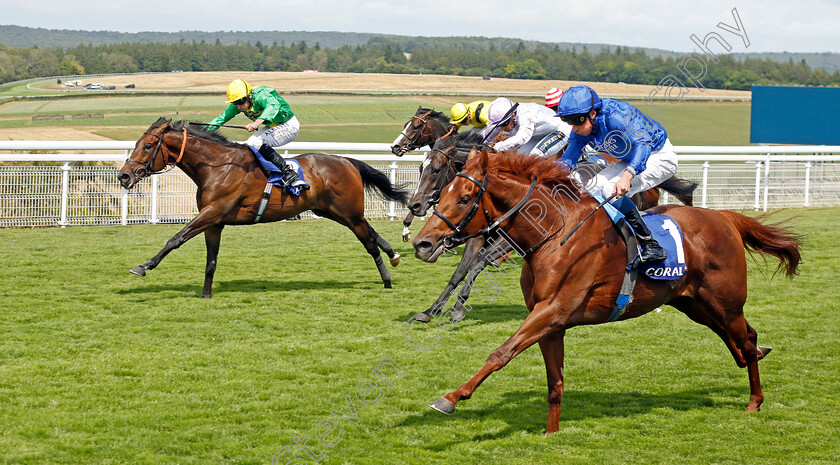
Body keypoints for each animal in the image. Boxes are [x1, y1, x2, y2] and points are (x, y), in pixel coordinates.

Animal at [117, 118, 406, 296]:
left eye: (148, 145)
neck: (217, 166)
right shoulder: (215, 222)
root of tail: (347, 161)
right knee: (371, 233)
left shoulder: (212, 212)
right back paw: (393, 254)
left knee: (368, 242)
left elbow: (175, 238)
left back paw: (387, 280)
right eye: (137, 144)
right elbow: (211, 261)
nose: (123, 176)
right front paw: (206, 295)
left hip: (348, 212)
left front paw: (144, 266)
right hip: (333, 212)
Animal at [412, 147, 800, 434]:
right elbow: (554, 381)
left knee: (744, 340)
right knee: (743, 338)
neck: (552, 233)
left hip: (725, 303)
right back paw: (757, 357)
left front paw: (450, 397)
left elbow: (501, 353)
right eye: (442, 194)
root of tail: (726, 218)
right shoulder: (551, 322)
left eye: (464, 199)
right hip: (696, 305)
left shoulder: (552, 309)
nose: (422, 243)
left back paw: (755, 400)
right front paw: (551, 433)